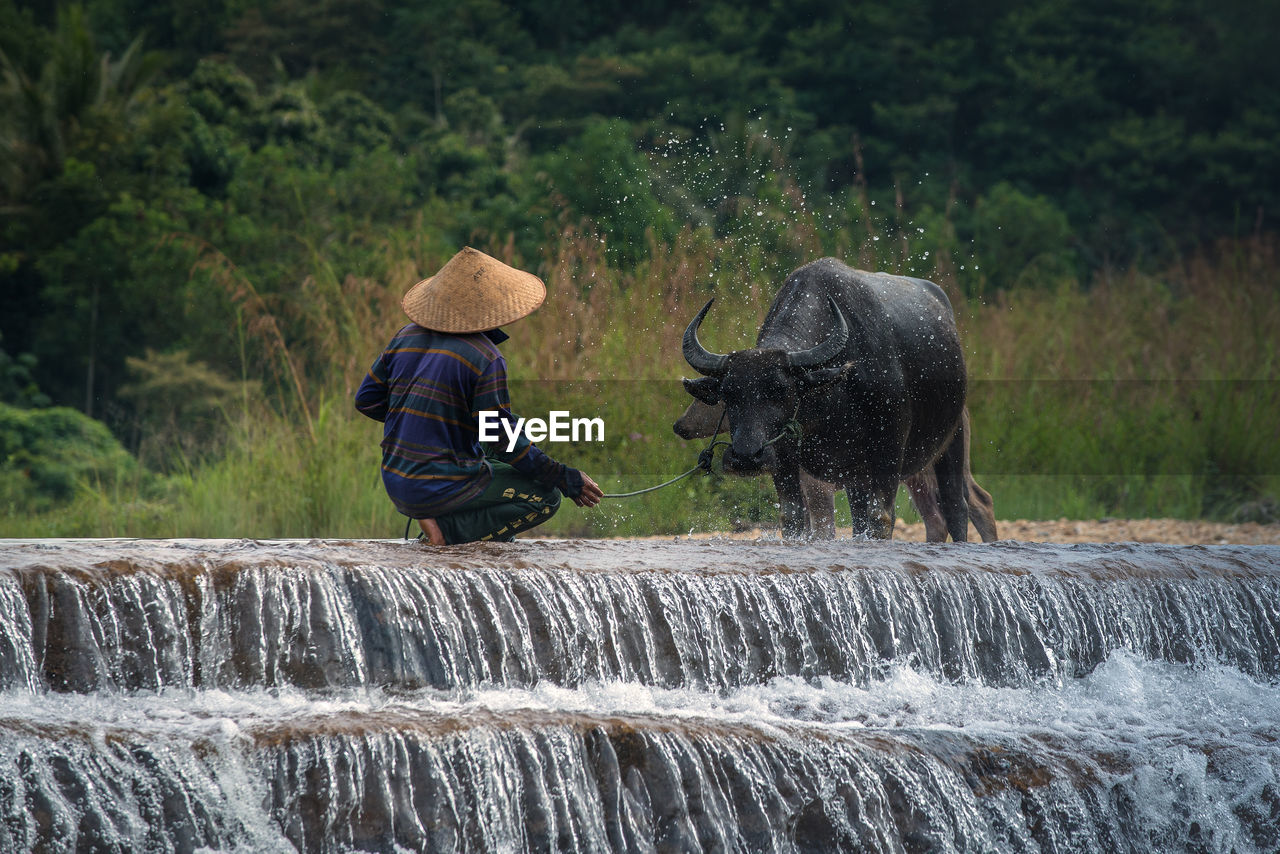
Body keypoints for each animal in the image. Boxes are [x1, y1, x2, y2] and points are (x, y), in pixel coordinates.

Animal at [675, 399, 993, 540]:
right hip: (915, 473)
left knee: (977, 498)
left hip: (935, 458)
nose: (680, 424)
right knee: (935, 515)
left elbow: (823, 525)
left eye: (703, 401)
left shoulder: (817, 482)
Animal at [691, 258, 967, 540]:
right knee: (859, 517)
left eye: (782, 390)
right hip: (858, 475)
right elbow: (791, 516)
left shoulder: (888, 448)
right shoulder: (784, 456)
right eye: (728, 394)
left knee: (955, 507)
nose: (745, 457)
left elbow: (880, 517)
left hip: (952, 440)